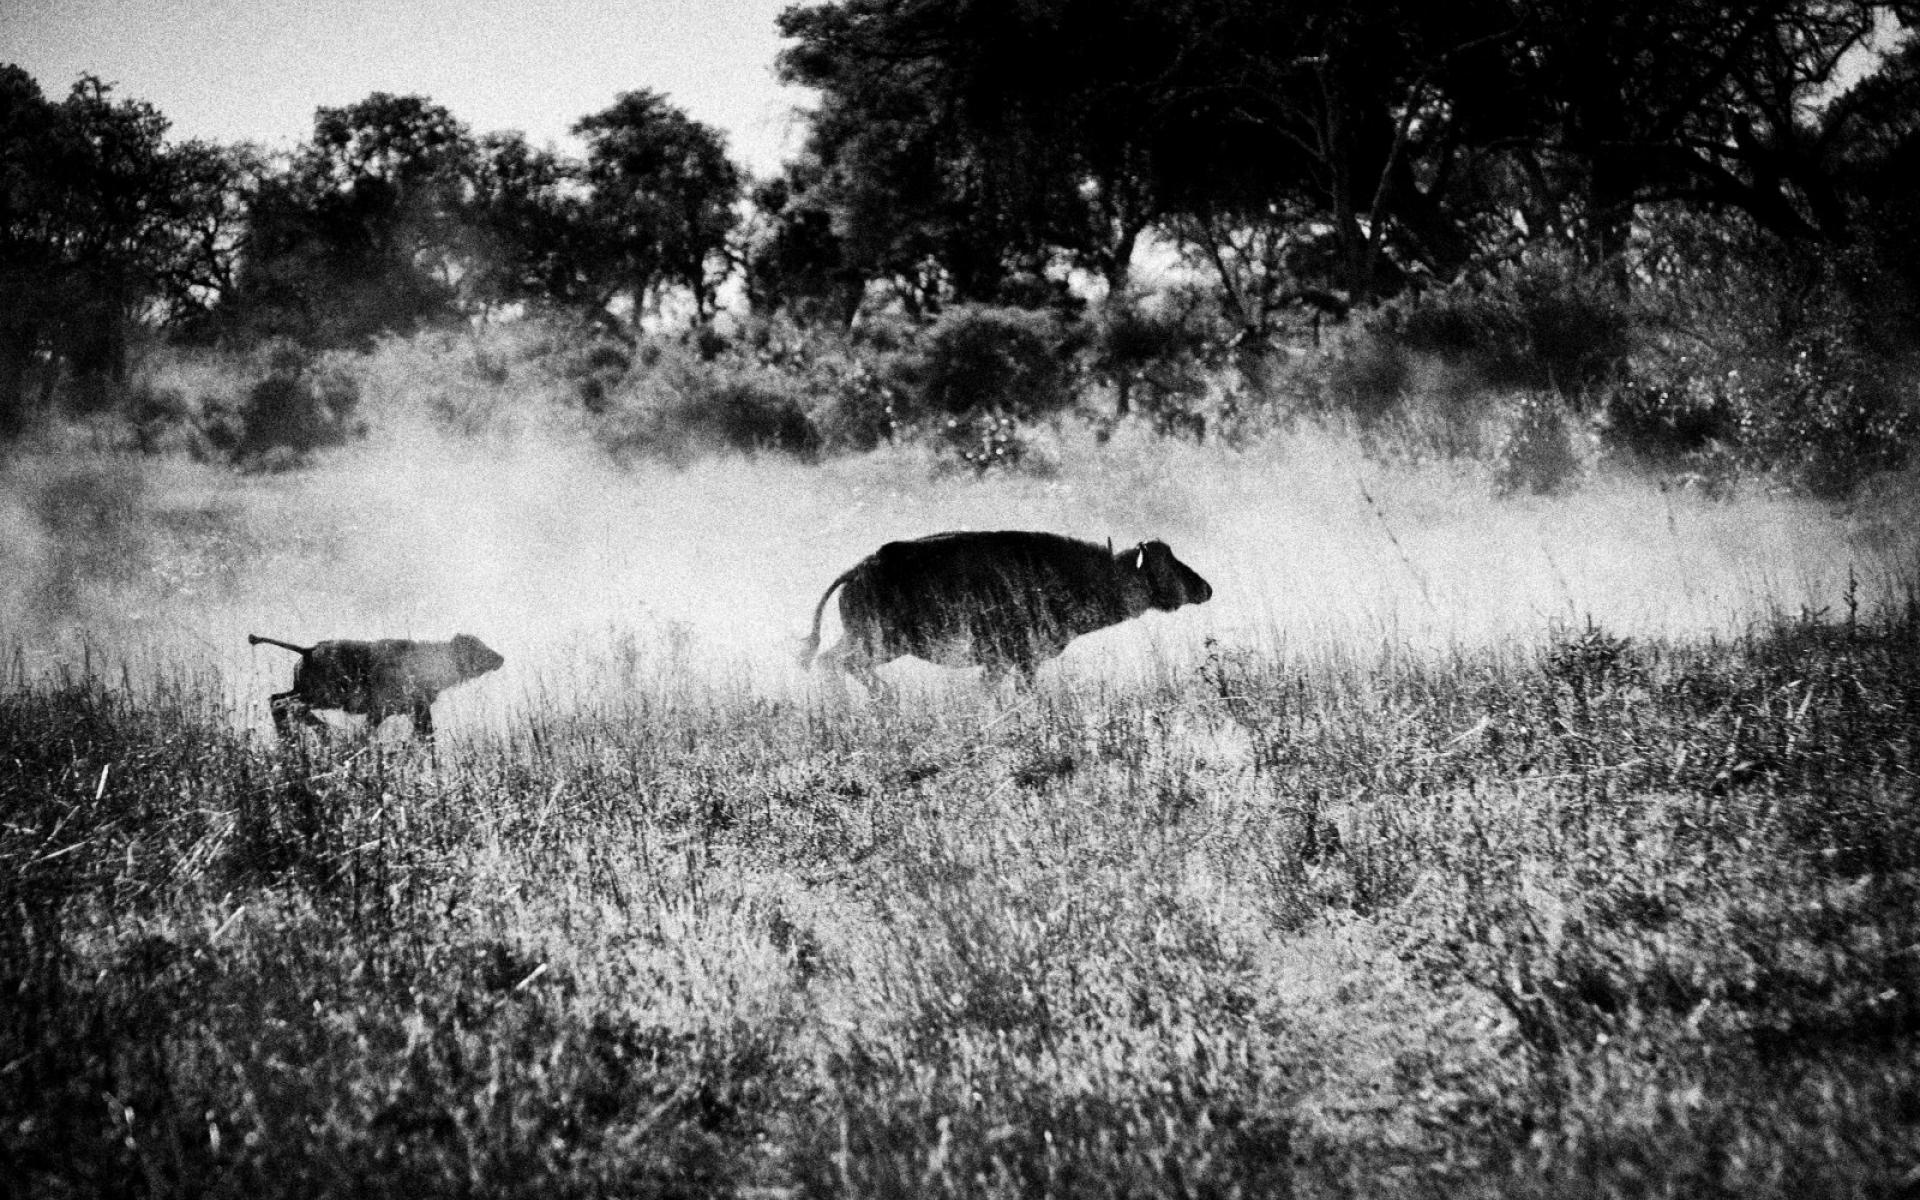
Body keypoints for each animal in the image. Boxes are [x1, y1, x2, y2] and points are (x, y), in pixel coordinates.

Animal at [802, 529, 1205, 687]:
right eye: (1163, 566)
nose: (1206, 588)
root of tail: (858, 571)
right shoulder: (1020, 661)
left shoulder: (1002, 664)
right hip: (881, 645)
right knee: (838, 664)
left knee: (830, 662)